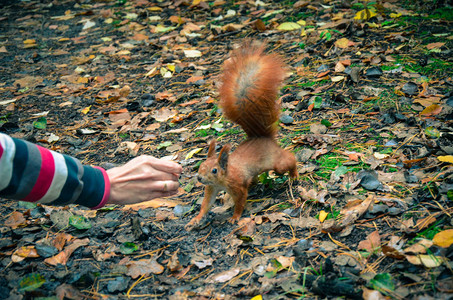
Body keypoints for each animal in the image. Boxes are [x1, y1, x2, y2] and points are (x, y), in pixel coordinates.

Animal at [184, 39, 296, 231]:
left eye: (214, 170)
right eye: (200, 166)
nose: (199, 178)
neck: (222, 179)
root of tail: (261, 136)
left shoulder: (237, 186)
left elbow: (240, 202)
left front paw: (235, 217)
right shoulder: (211, 189)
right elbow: (206, 204)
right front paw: (196, 219)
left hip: (277, 163)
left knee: (289, 159)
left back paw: (294, 174)